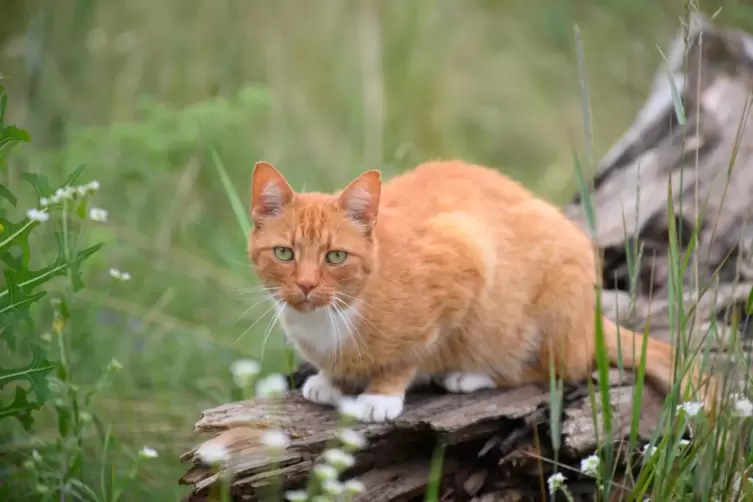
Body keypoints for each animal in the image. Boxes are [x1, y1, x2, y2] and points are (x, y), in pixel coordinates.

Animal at [248, 159, 716, 422]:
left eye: (335, 257)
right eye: (285, 253)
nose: (306, 285)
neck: (330, 320)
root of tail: (591, 320)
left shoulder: (466, 256)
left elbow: (413, 353)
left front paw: (381, 394)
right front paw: (331, 379)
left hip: (556, 300)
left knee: (559, 368)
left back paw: (472, 375)